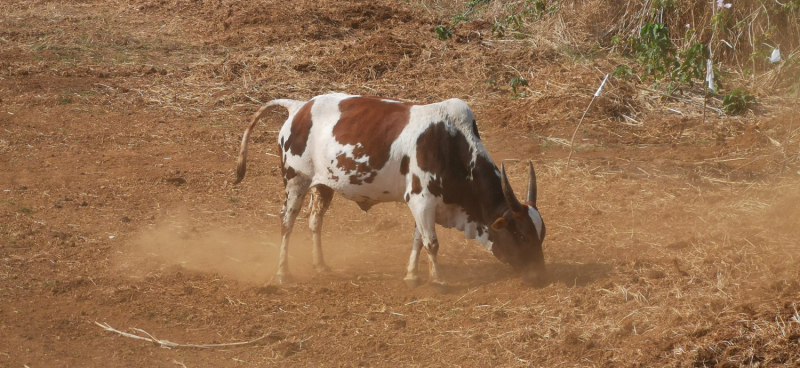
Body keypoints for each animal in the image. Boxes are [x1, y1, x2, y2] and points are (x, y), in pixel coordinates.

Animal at [234, 93, 548, 288]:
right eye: (521, 235)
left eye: (540, 235)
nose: (539, 275)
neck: (452, 143)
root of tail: (298, 107)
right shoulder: (422, 201)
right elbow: (432, 243)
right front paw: (439, 281)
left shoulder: (423, 204)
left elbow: (418, 241)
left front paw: (412, 276)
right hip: (296, 182)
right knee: (287, 222)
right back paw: (283, 272)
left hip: (323, 186)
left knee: (315, 221)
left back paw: (320, 265)